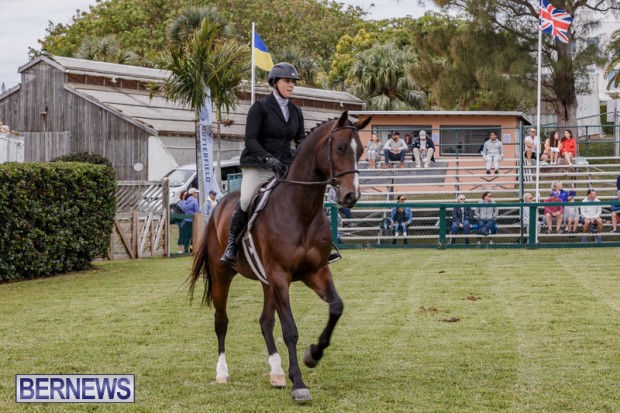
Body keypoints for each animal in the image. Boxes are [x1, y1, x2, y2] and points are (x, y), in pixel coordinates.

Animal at [188, 111, 371, 402]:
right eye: (341, 148)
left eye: (361, 151)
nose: (351, 196)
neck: (301, 210)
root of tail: (218, 207)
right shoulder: (281, 276)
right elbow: (290, 330)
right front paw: (299, 384)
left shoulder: (316, 272)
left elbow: (336, 307)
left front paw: (313, 355)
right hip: (223, 275)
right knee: (221, 321)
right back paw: (222, 373)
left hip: (266, 282)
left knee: (265, 321)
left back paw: (276, 373)